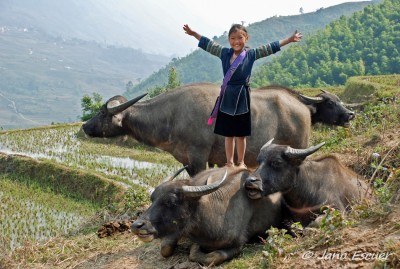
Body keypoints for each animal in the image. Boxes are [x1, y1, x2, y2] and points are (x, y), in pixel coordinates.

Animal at [81, 84, 354, 176]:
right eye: (332, 102)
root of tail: (301, 107)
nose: (84, 126)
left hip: (299, 146)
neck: (172, 116)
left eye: (103, 113)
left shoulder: (198, 157)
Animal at [130, 166, 282, 264]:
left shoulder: (238, 245)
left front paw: (195, 248)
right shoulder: (177, 230)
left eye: (171, 201)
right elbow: (165, 249)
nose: (136, 225)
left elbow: (213, 257)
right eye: (152, 198)